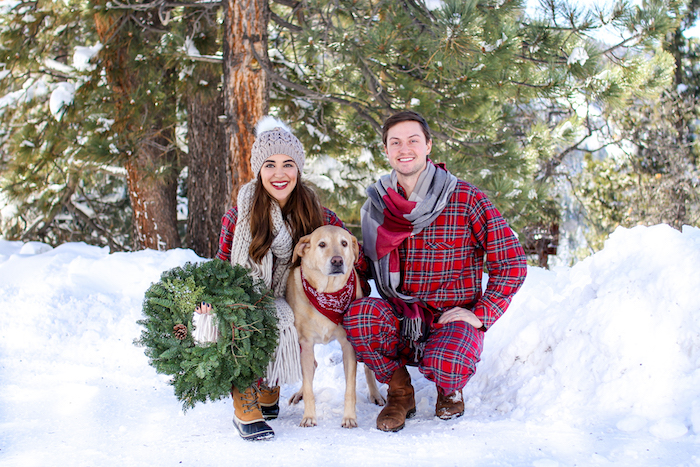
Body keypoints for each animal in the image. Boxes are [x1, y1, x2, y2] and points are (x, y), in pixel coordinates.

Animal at [284, 226, 386, 428]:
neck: (328, 292)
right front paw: (309, 417)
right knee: (310, 369)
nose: (337, 261)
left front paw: (349, 418)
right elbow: (309, 386)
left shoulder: (348, 345)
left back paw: (375, 394)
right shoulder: (306, 344)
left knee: (368, 367)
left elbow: (350, 389)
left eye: (344, 243)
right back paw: (299, 393)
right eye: (322, 244)